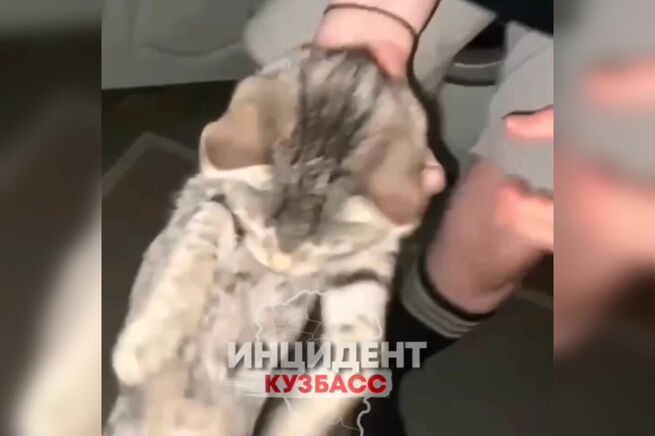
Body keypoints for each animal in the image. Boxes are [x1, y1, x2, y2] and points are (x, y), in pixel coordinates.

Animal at [106, 46, 429, 436]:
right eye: (260, 224)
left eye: (321, 246)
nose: (279, 263)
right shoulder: (214, 198)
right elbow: (191, 256)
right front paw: (143, 345)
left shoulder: (367, 269)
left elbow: (360, 352)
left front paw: (293, 423)